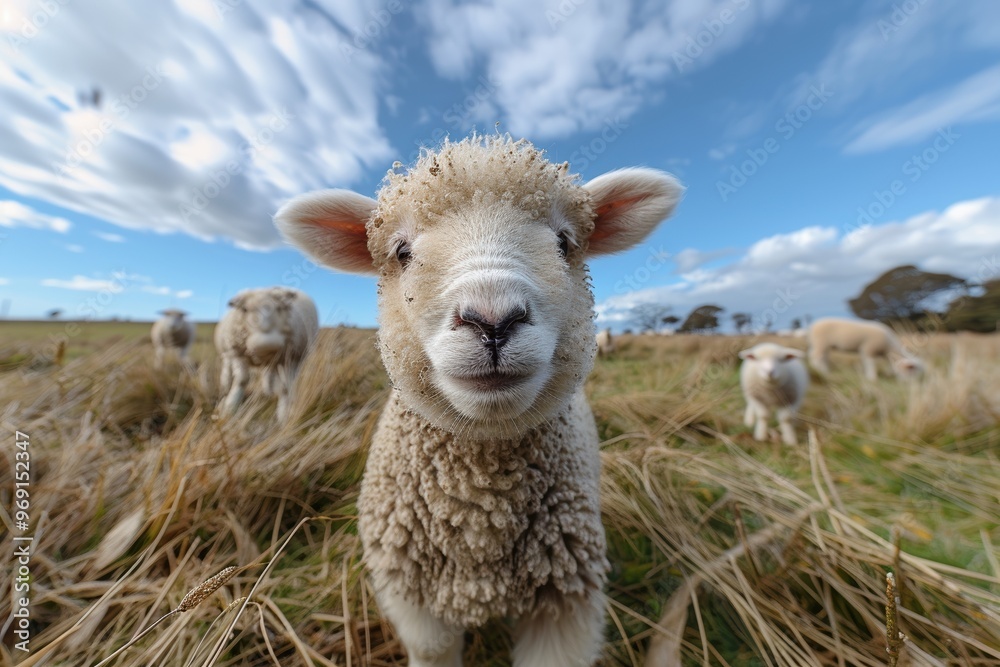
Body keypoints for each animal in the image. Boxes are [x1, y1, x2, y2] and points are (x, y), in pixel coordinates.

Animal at [213, 287, 319, 422]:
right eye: (244, 309)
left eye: (279, 308)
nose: (264, 343)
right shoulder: (238, 354)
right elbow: (241, 380)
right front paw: (229, 409)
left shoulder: (291, 359)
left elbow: (286, 388)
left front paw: (284, 415)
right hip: (227, 354)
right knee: (227, 372)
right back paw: (225, 388)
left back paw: (269, 393)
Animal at [276, 134, 683, 667]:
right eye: (402, 252)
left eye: (564, 243)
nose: (493, 321)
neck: (479, 514)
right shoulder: (416, 603)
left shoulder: (565, 601)